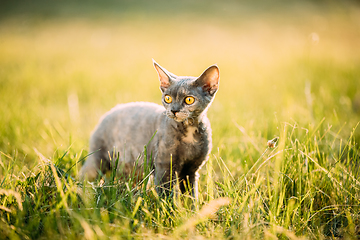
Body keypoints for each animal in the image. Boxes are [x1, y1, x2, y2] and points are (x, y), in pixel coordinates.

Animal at [79, 61, 219, 198]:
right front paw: (168, 205)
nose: (174, 110)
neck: (189, 132)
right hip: (99, 158)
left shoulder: (191, 170)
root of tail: (106, 114)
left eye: (189, 100)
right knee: (85, 174)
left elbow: (191, 195)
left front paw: (192, 206)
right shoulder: (164, 166)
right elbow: (165, 193)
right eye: (168, 98)